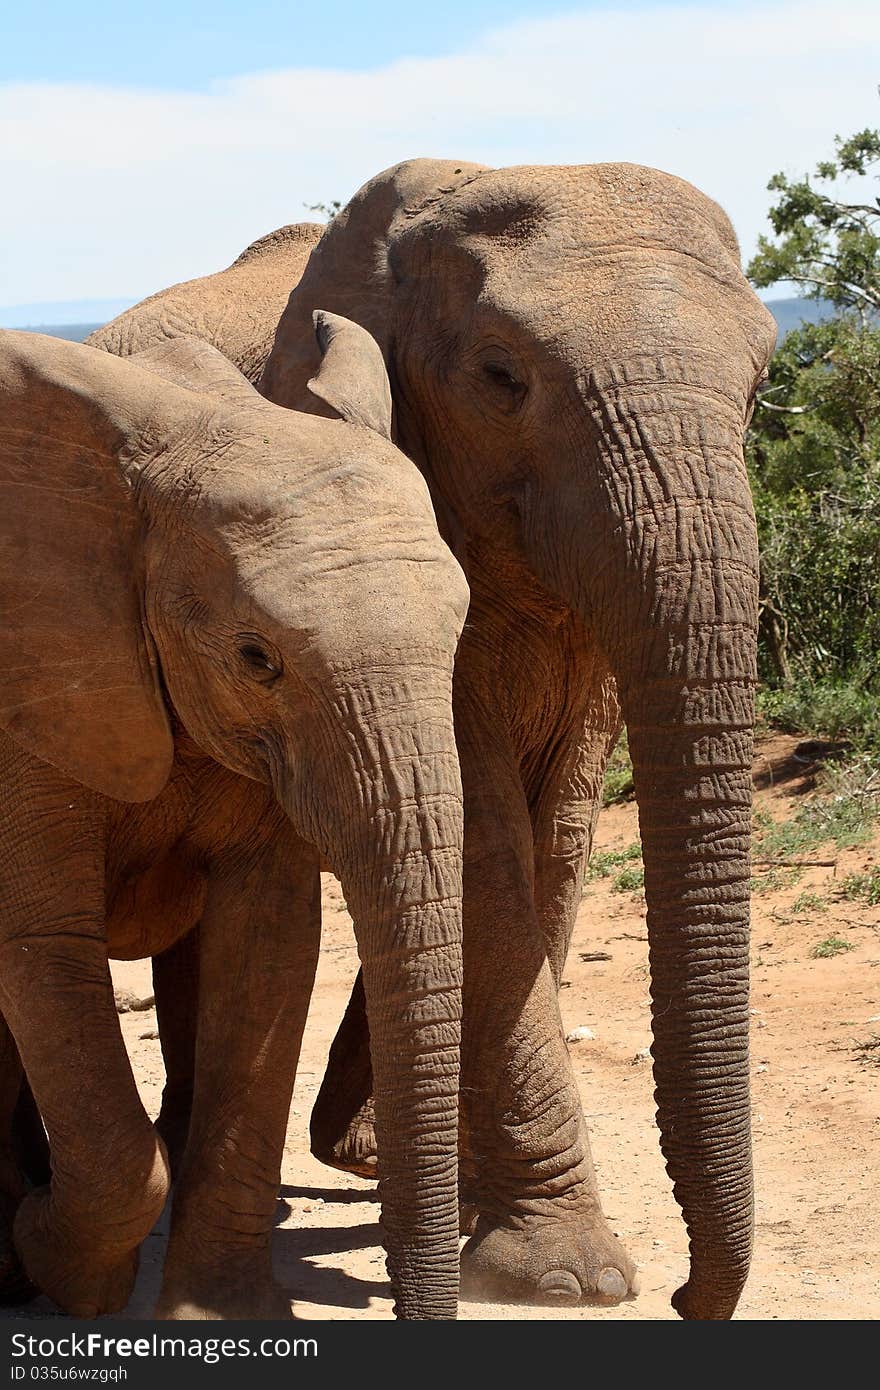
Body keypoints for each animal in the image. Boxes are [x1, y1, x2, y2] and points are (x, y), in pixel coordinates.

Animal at [0, 319, 467, 1317]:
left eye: (461, 631)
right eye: (257, 659)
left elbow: (269, 941)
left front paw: (219, 1313)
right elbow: (42, 942)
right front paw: (63, 1266)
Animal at [262, 157, 772, 1317]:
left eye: (763, 383)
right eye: (501, 377)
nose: (689, 1300)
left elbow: (559, 835)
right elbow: (482, 840)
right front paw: (562, 1276)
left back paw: (375, 1160)